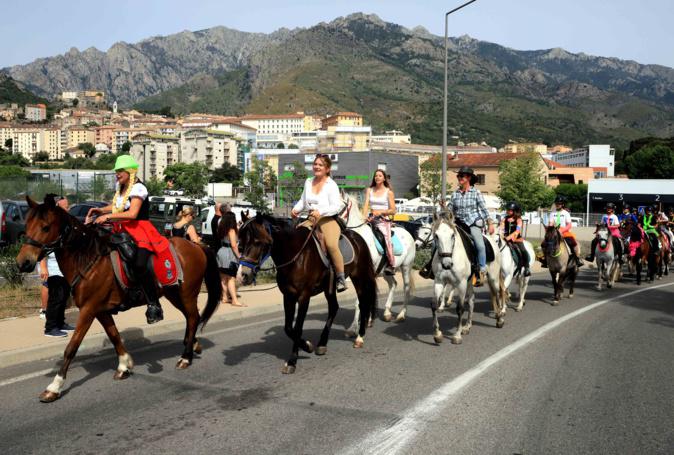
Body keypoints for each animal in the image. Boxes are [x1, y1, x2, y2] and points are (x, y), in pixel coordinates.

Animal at [15, 196, 222, 402]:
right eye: (27, 225)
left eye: (45, 227)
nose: (23, 262)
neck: (89, 259)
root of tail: (197, 245)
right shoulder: (101, 310)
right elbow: (114, 336)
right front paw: (124, 366)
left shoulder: (88, 309)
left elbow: (72, 347)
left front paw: (54, 387)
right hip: (174, 294)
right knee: (191, 318)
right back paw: (192, 345)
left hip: (187, 293)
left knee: (193, 317)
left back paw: (185, 357)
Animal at [236, 214, 376, 374]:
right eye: (240, 244)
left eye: (258, 242)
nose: (243, 275)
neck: (296, 255)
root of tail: (358, 238)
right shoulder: (288, 296)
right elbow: (288, 328)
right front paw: (307, 346)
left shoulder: (304, 296)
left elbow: (297, 328)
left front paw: (293, 360)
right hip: (329, 288)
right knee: (334, 307)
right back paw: (322, 344)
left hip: (359, 277)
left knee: (363, 303)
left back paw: (359, 337)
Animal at [342, 194, 414, 334]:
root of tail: (408, 233)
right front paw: (365, 322)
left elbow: (361, 300)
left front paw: (354, 328)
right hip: (386, 272)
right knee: (393, 284)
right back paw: (387, 313)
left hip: (406, 267)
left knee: (406, 288)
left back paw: (401, 315)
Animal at [430, 213, 504, 346]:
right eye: (436, 236)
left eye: (452, 235)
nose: (446, 264)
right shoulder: (439, 281)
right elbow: (434, 305)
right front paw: (438, 335)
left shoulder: (461, 283)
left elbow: (460, 308)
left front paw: (457, 336)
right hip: (469, 283)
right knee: (471, 300)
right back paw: (467, 326)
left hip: (493, 278)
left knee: (496, 294)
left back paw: (500, 320)